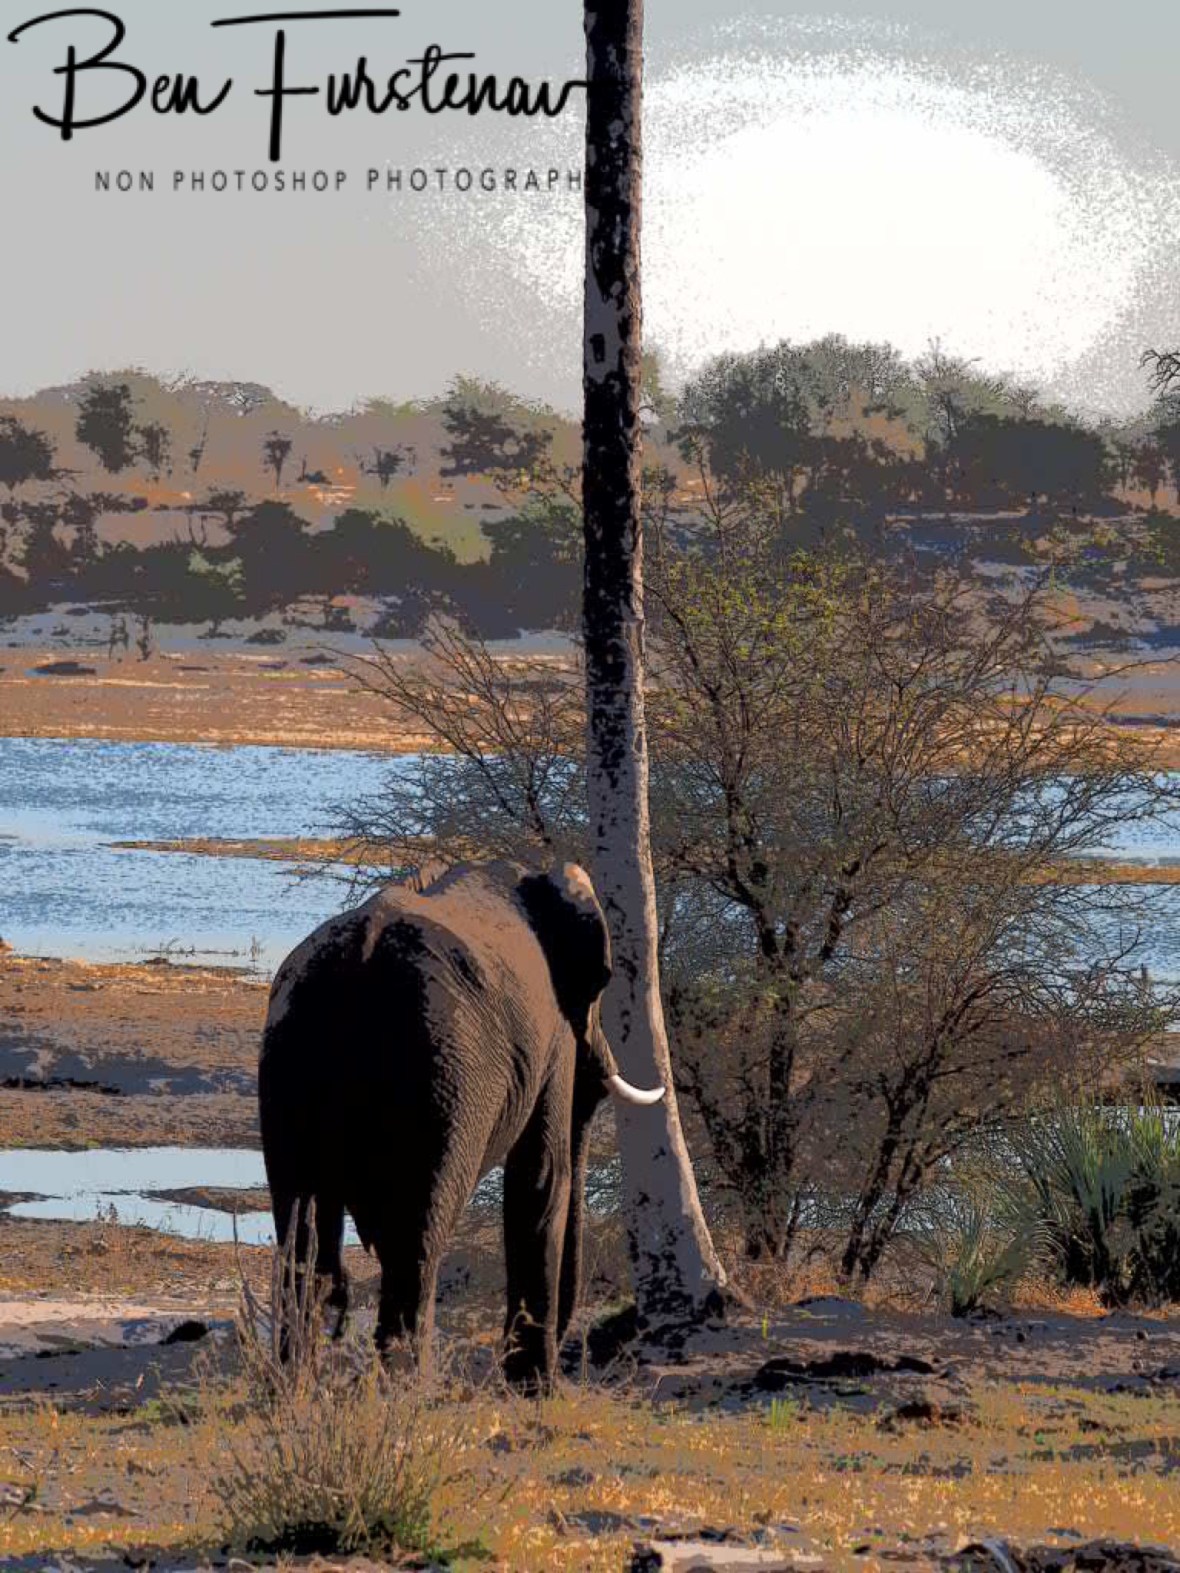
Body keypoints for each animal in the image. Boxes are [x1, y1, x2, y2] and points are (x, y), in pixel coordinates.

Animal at [258, 859, 664, 1392]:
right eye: (601, 987)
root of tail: (354, 966)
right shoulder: (554, 1034)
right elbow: (542, 1175)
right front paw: (535, 1391)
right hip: (437, 1071)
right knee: (416, 1239)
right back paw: (408, 1392)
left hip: (289, 1057)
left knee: (299, 1234)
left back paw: (295, 1390)